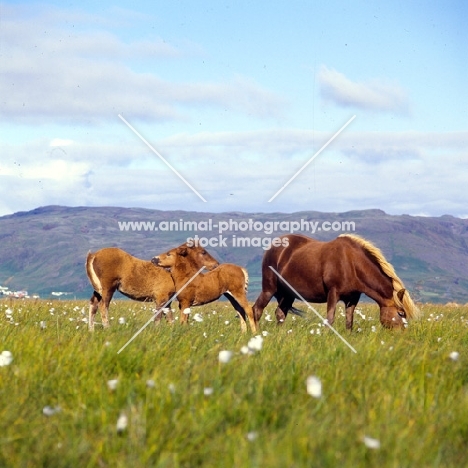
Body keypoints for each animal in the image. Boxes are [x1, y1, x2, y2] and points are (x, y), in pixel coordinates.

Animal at [252, 233, 420, 330]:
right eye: (401, 313)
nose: (402, 334)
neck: (352, 264)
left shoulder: (352, 298)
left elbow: (349, 322)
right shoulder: (333, 293)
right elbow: (330, 319)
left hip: (288, 294)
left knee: (280, 313)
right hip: (269, 289)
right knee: (257, 310)